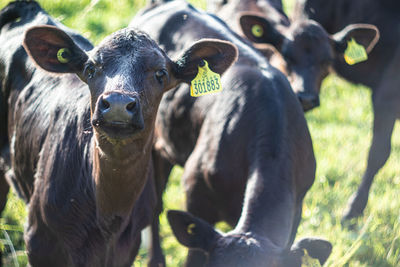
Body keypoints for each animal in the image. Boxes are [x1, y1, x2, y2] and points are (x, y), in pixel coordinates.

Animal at [0, 1, 236, 266]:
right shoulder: (39, 241)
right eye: (90, 68)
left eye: (161, 73)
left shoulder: (127, 247)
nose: (118, 103)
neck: (110, 214)